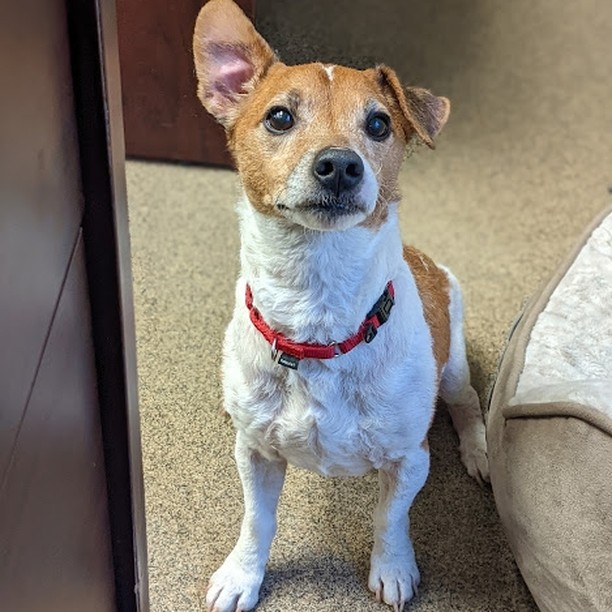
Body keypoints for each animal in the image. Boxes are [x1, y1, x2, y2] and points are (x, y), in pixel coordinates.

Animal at [191, 2, 488, 608]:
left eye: (378, 124)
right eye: (279, 117)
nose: (341, 165)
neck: (318, 311)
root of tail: (424, 260)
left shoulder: (410, 458)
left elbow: (389, 518)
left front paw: (393, 569)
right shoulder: (254, 454)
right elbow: (257, 520)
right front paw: (242, 575)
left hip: (452, 368)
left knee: (467, 401)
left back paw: (477, 452)